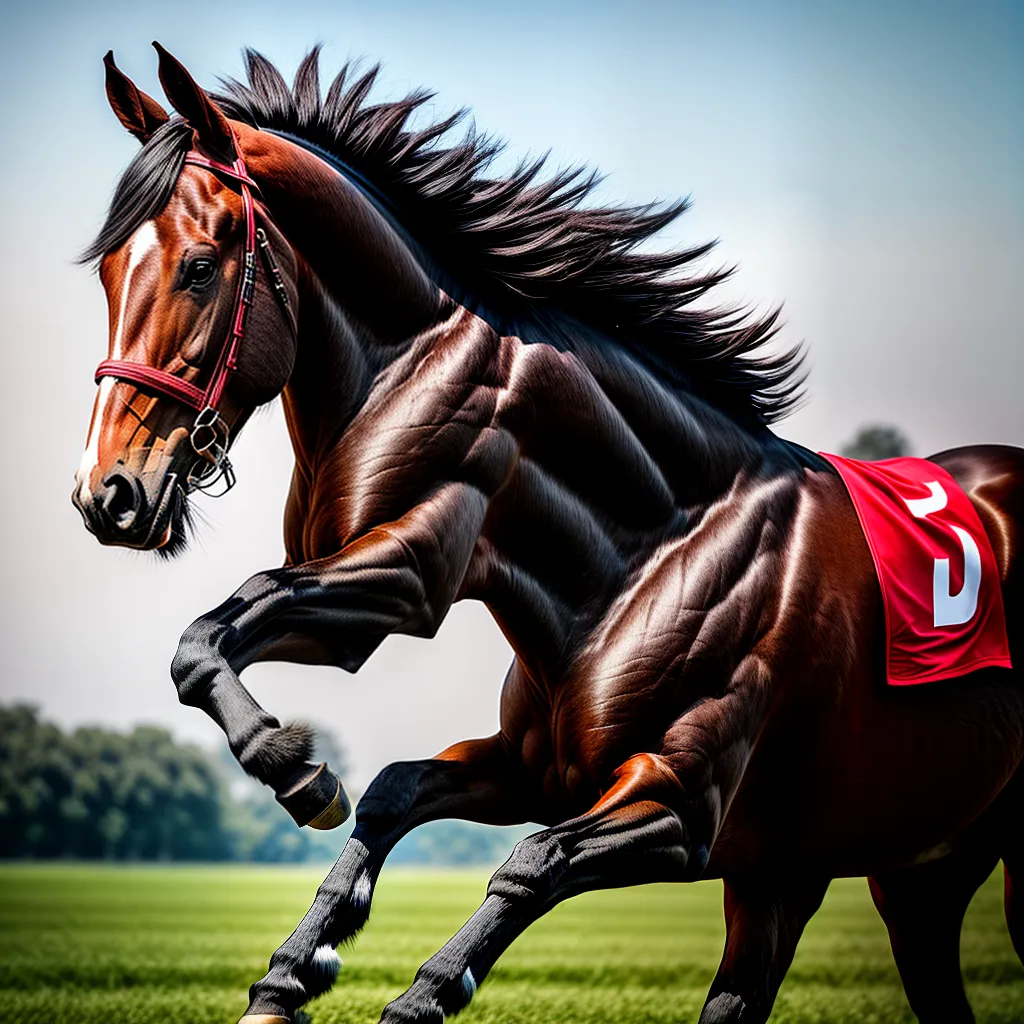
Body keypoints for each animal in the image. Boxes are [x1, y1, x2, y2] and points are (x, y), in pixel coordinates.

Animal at [71, 43, 1024, 1024]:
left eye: (198, 265)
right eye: (108, 270)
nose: (108, 492)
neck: (658, 546)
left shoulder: (671, 801)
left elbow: (532, 859)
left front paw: (309, 796)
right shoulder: (533, 766)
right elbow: (377, 778)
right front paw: (294, 960)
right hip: (873, 877)